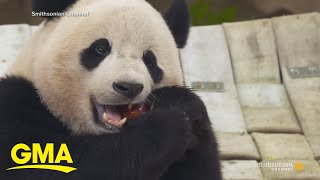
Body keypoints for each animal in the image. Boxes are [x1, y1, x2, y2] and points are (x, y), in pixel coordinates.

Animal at [0, 0, 221, 179]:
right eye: (100, 49)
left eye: (150, 61)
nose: (129, 87)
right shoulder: (14, 104)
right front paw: (165, 127)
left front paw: (181, 102)